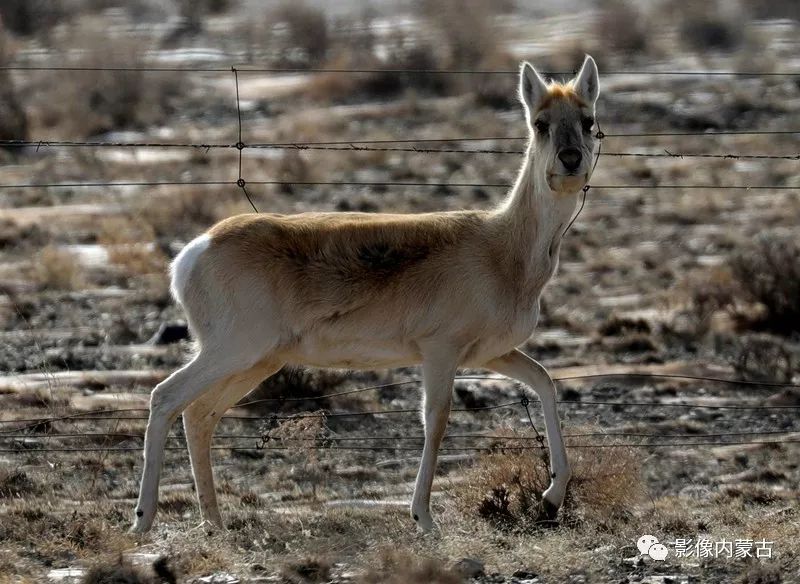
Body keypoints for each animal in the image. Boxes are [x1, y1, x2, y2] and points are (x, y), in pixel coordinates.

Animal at [131, 56, 600, 532]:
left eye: (587, 120)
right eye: (540, 122)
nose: (571, 159)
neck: (502, 245)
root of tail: (195, 250)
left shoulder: (491, 354)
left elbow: (544, 382)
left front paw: (551, 498)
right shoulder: (441, 351)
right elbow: (436, 421)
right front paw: (424, 517)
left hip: (256, 361)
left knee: (198, 415)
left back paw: (214, 522)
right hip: (233, 352)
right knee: (165, 397)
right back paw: (143, 519)